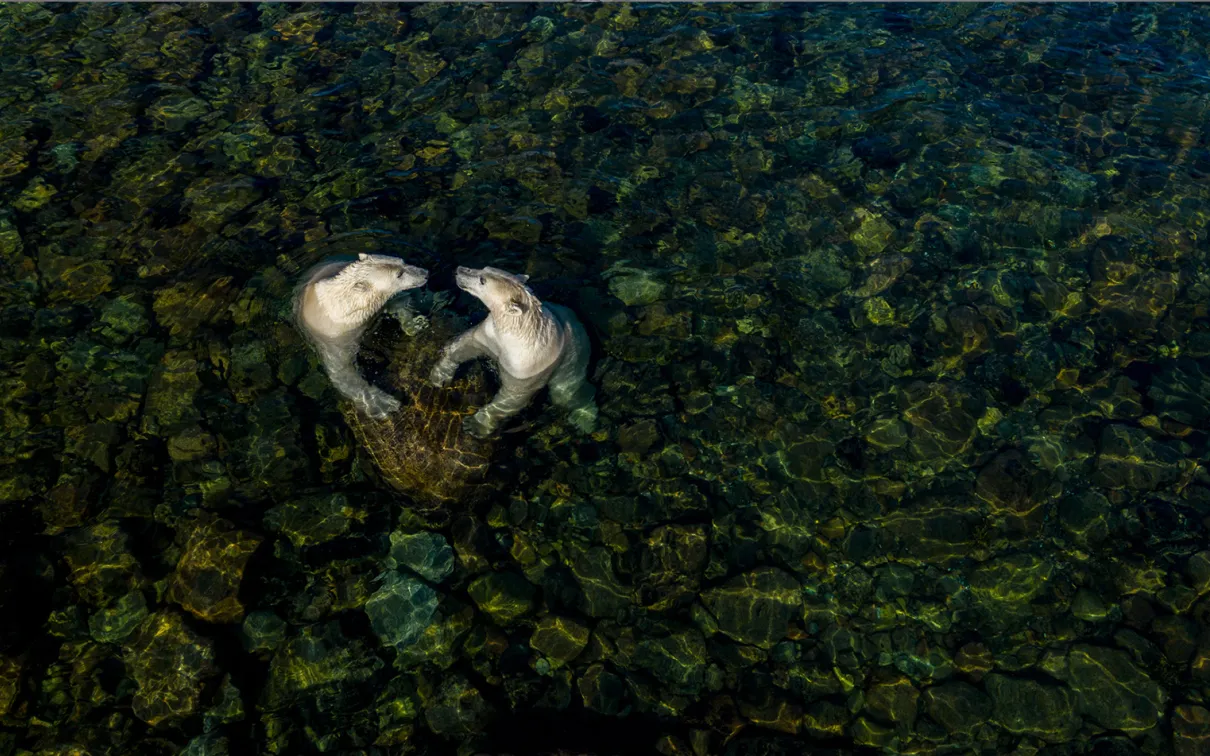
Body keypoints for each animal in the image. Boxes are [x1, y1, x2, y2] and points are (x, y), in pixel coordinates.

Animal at [293, 252, 428, 418]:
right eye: (399, 274)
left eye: (402, 261)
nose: (425, 273)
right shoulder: (334, 336)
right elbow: (341, 372)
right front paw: (387, 404)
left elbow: (398, 303)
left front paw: (416, 324)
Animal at [429, 265, 598, 438]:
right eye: (484, 268)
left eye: (483, 280)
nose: (459, 269)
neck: (517, 332)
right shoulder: (490, 334)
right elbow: (466, 344)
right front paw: (439, 376)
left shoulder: (525, 365)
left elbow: (512, 397)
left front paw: (474, 425)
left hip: (575, 355)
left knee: (566, 392)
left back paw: (585, 418)